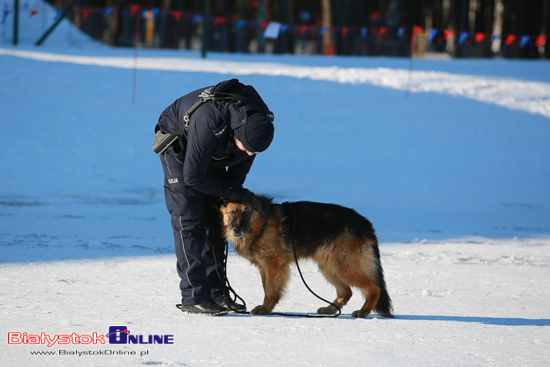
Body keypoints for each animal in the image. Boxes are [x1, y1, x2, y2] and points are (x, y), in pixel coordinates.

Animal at [222, 196, 394, 320]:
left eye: (246, 213)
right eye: (232, 213)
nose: (236, 230)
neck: (261, 224)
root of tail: (365, 223)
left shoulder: (273, 265)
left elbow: (270, 290)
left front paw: (266, 309)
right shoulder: (264, 267)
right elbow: (266, 287)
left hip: (343, 266)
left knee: (374, 288)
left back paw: (363, 311)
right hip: (329, 266)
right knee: (346, 292)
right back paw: (330, 309)